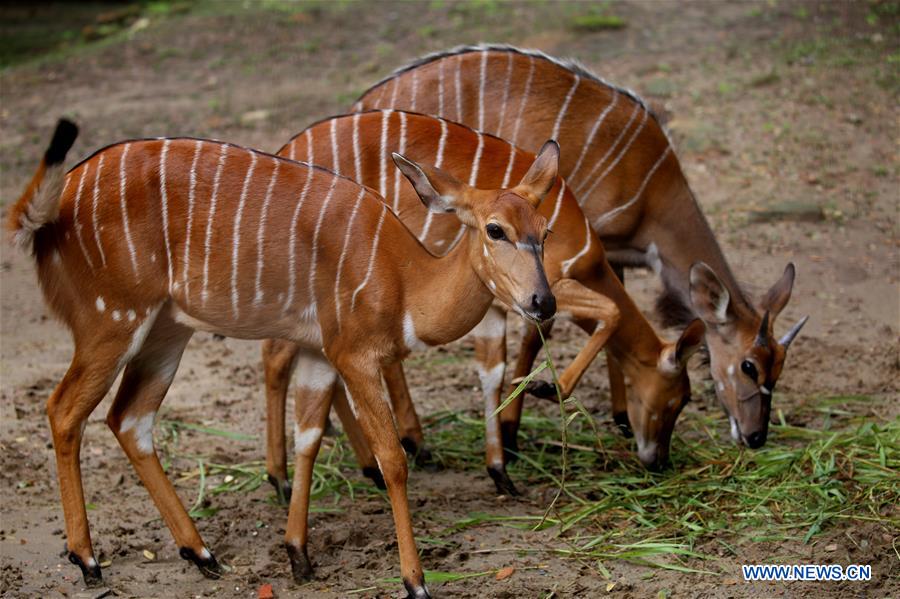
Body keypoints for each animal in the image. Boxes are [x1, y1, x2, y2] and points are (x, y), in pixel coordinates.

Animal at [7, 120, 560, 596]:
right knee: (64, 410)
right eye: (495, 229)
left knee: (130, 418)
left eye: (545, 231)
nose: (543, 302)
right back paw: (87, 560)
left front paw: (298, 555)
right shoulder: (355, 353)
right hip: (111, 321)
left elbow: (308, 437)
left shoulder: (318, 352)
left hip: (166, 330)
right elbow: (392, 458)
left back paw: (202, 554)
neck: (403, 282)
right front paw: (415, 581)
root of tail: (50, 213)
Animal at [262, 110, 712, 504]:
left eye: (545, 232)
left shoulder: (500, 306)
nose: (659, 462)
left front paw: (500, 470)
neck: (584, 250)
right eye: (678, 400)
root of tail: (288, 146)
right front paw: (548, 388)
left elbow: (491, 370)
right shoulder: (545, 290)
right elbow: (608, 312)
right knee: (277, 358)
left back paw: (371, 466)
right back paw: (280, 479)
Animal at [356, 43, 812, 450]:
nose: (756, 437)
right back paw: (414, 442)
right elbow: (542, 330)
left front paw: (621, 417)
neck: (653, 190)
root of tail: (364, 101)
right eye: (749, 366)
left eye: (779, 369)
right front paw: (513, 429)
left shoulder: (606, 256)